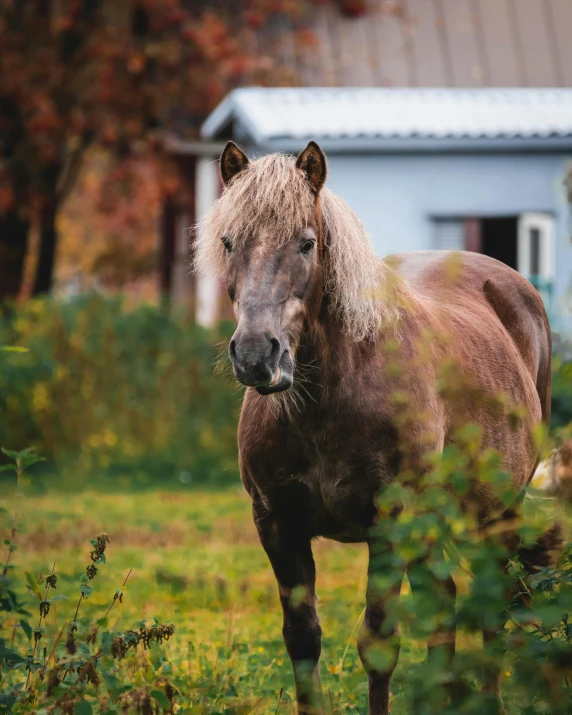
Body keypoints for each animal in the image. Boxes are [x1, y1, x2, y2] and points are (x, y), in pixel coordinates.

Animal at [194, 141, 552, 715]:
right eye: (229, 242)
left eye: (306, 243)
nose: (255, 356)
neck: (328, 399)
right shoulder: (276, 523)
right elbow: (302, 639)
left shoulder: (390, 523)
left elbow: (378, 643)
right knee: (444, 602)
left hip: (496, 513)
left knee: (491, 602)